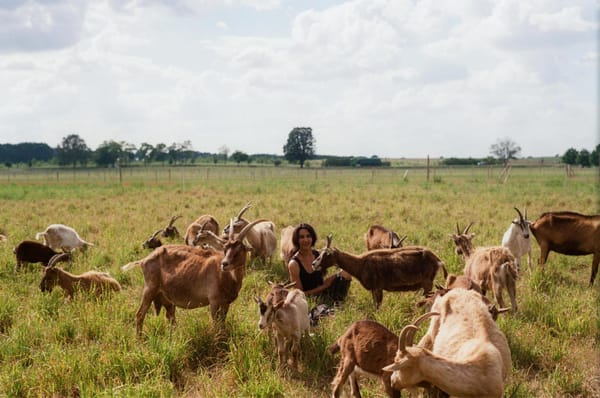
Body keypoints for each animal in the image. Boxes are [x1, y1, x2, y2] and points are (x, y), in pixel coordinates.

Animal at [122, 219, 264, 334]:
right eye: (225, 248)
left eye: (239, 250)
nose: (224, 264)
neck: (228, 277)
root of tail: (144, 260)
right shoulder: (214, 302)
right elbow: (216, 325)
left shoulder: (225, 304)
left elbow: (222, 323)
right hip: (149, 290)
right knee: (140, 314)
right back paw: (139, 339)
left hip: (167, 298)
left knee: (170, 317)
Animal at [314, 235, 446, 310]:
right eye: (320, 252)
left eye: (327, 254)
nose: (314, 264)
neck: (360, 264)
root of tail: (438, 260)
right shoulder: (374, 289)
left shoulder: (378, 287)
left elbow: (378, 307)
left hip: (428, 283)